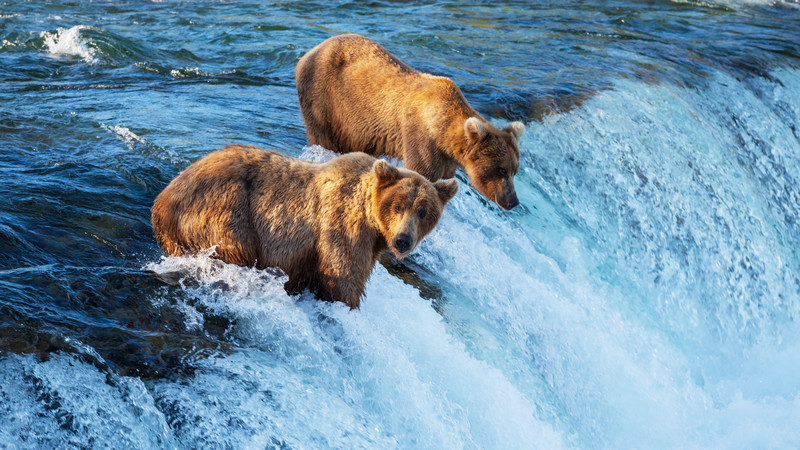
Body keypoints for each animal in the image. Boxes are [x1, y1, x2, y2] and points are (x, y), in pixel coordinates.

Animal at [151, 145, 458, 309]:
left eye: (424, 212)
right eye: (397, 206)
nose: (403, 240)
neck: (373, 224)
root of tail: (161, 201)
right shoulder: (341, 226)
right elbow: (343, 276)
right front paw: (347, 304)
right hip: (224, 210)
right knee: (235, 248)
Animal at [295, 33, 525, 210]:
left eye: (514, 170)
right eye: (501, 169)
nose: (513, 201)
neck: (442, 131)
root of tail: (309, 52)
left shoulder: (447, 158)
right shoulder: (421, 138)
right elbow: (422, 172)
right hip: (325, 97)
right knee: (322, 135)